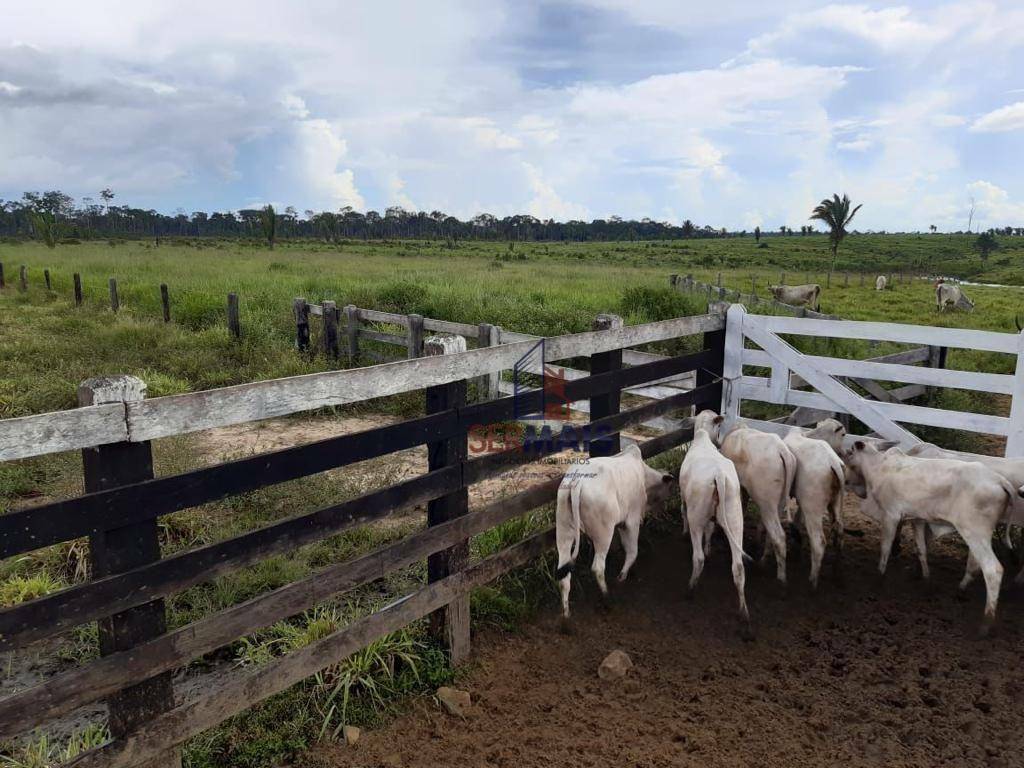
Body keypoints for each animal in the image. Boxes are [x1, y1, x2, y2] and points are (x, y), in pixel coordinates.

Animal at [557, 442, 675, 622]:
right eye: (668, 490)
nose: (663, 511)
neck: (643, 475)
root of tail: (577, 481)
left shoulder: (621, 524)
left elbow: (627, 547)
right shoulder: (631, 520)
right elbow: (632, 550)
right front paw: (623, 575)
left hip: (564, 532)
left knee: (564, 576)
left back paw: (566, 616)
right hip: (603, 533)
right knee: (598, 568)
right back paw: (607, 599)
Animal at [679, 415, 753, 638]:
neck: (703, 436)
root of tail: (718, 475)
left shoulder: (685, 499)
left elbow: (683, 512)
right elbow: (710, 530)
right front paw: (709, 547)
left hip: (697, 513)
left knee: (698, 558)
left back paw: (690, 589)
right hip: (735, 515)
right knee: (738, 567)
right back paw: (744, 615)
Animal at [700, 415, 794, 589]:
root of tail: (782, 450)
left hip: (767, 502)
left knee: (779, 536)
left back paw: (780, 577)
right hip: (777, 502)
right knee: (771, 531)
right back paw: (764, 558)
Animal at [786, 428, 843, 589]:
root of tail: (834, 463)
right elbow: (798, 519)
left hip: (814, 508)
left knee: (818, 543)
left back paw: (812, 581)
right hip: (835, 502)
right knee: (839, 533)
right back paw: (836, 574)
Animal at [839, 442, 1015, 634]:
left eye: (850, 453)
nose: (845, 478)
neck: (879, 467)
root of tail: (1000, 480)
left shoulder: (890, 515)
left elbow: (885, 547)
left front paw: (879, 578)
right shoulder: (917, 519)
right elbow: (921, 549)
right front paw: (926, 580)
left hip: (974, 531)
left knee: (993, 570)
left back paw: (985, 624)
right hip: (979, 535)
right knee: (975, 564)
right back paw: (960, 589)